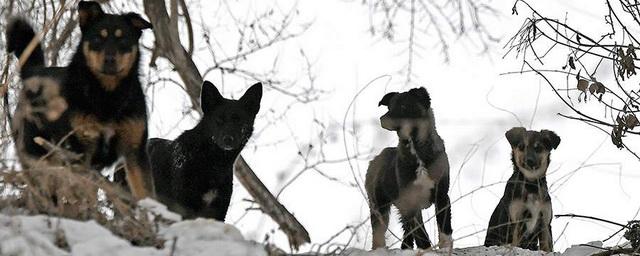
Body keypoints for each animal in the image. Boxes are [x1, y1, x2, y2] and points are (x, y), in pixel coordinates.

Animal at [7, 0, 154, 200]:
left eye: (123, 39)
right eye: (98, 38)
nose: (109, 60)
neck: (108, 95)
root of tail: (34, 74)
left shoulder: (135, 151)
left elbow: (145, 193)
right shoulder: (82, 151)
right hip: (39, 157)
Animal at [364, 87, 456, 249]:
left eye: (403, 106)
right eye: (389, 107)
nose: (382, 119)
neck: (415, 148)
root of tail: (374, 160)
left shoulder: (442, 195)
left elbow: (444, 226)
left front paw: (445, 248)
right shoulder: (411, 201)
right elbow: (421, 233)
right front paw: (426, 250)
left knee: (406, 229)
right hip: (378, 206)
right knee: (379, 232)